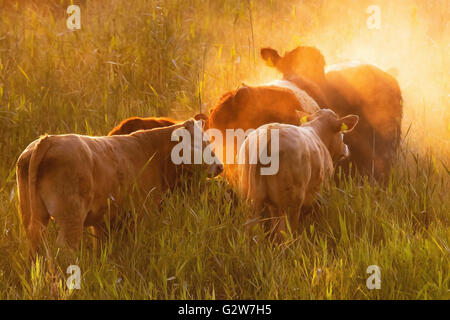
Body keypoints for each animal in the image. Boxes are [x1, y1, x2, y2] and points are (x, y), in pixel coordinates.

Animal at [15, 119, 223, 254]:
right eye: (201, 144)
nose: (220, 166)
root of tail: (49, 139)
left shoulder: (103, 222)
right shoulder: (141, 214)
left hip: (32, 216)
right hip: (71, 217)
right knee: (65, 248)